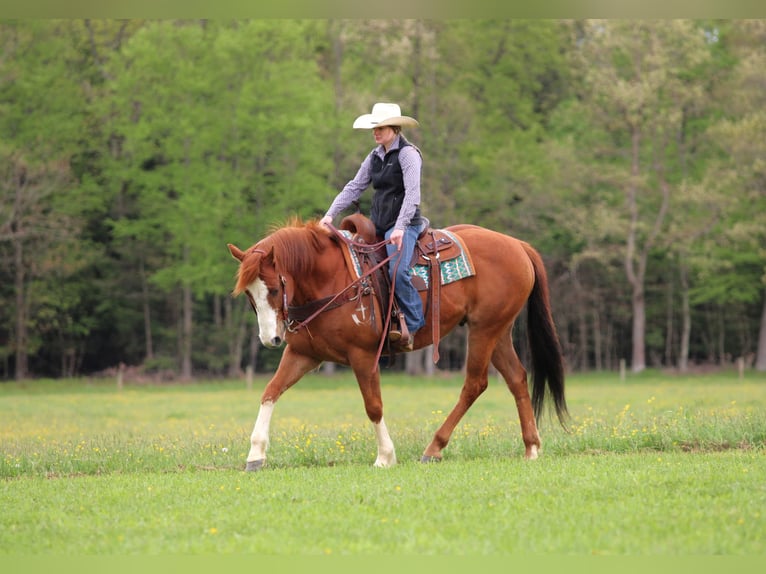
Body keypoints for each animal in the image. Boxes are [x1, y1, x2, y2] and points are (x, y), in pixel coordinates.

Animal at [227, 215, 567, 470]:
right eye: (250, 296)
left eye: (274, 288)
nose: (270, 338)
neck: (330, 279)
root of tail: (517, 245)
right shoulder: (302, 354)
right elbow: (270, 392)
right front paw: (255, 454)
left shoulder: (363, 356)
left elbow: (373, 406)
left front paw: (385, 456)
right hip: (498, 330)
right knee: (517, 378)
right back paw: (531, 447)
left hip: (484, 330)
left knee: (475, 384)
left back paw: (434, 447)